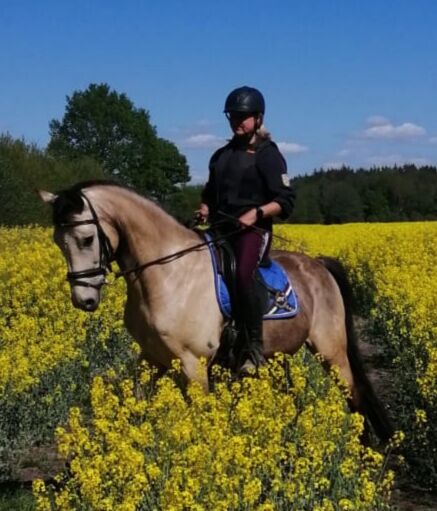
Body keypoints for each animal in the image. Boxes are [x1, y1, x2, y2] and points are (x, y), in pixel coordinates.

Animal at [36, 181, 392, 444]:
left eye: (86, 238)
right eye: (57, 241)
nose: (84, 300)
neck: (167, 274)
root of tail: (319, 264)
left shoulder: (193, 363)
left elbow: (200, 418)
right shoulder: (150, 358)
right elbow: (136, 405)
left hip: (330, 350)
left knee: (353, 396)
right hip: (281, 355)